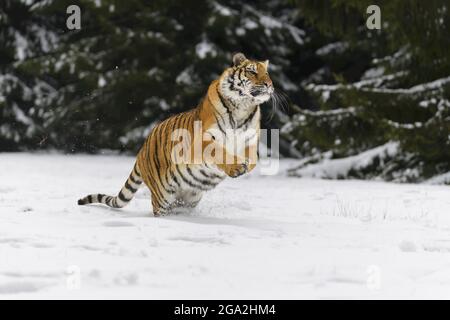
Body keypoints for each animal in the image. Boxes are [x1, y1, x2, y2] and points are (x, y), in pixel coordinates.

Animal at [78, 53, 274, 218]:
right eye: (252, 71)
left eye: (267, 73)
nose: (268, 84)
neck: (243, 107)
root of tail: (141, 151)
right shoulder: (204, 140)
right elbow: (219, 151)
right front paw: (236, 167)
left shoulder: (251, 140)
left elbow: (252, 159)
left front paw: (244, 165)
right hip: (162, 197)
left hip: (189, 198)